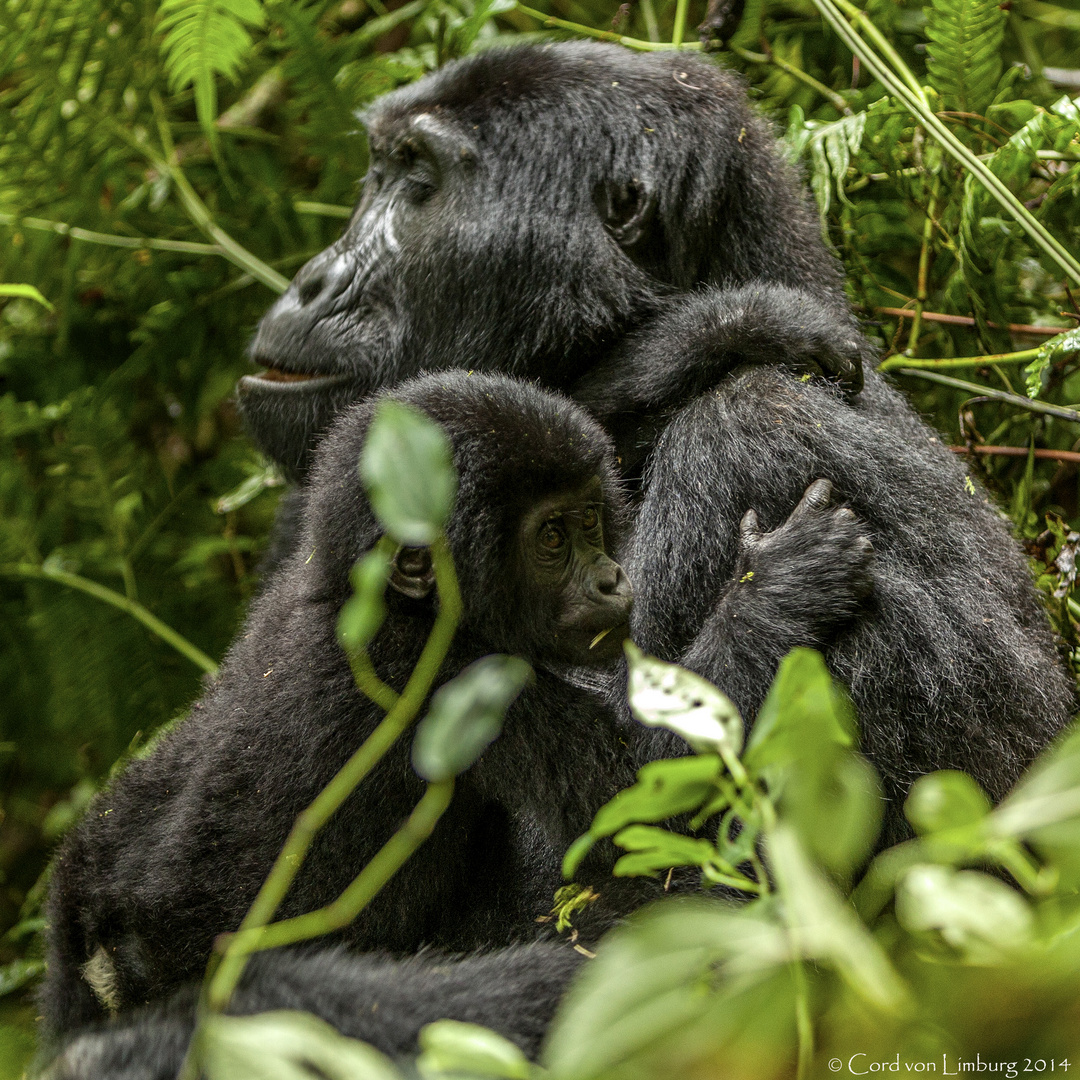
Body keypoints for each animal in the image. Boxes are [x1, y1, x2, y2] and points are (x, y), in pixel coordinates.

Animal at [42, 367, 872, 1041]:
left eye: (591, 519)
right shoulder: (450, 682)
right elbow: (645, 802)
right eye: (551, 538)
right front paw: (776, 592)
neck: (387, 601)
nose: (612, 579)